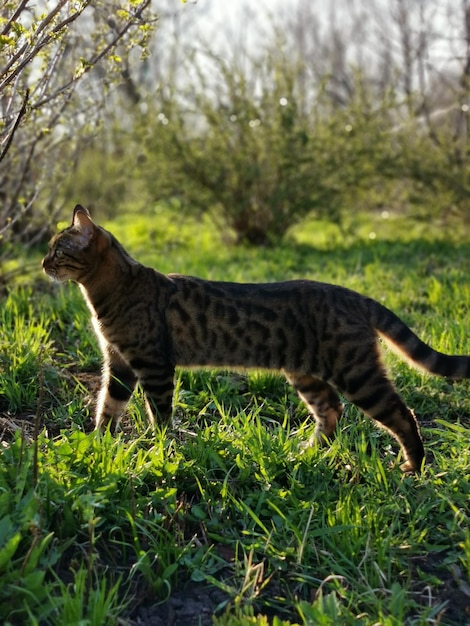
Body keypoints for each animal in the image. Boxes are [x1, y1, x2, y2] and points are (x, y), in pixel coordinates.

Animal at [41, 202, 470, 470]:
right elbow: (107, 406)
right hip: (306, 373)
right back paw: (307, 452)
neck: (108, 294)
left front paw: (161, 447)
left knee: (401, 414)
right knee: (332, 410)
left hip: (356, 372)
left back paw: (414, 465)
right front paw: (100, 444)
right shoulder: (119, 362)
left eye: (59, 251)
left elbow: (159, 414)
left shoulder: (152, 363)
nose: (42, 263)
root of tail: (352, 295)